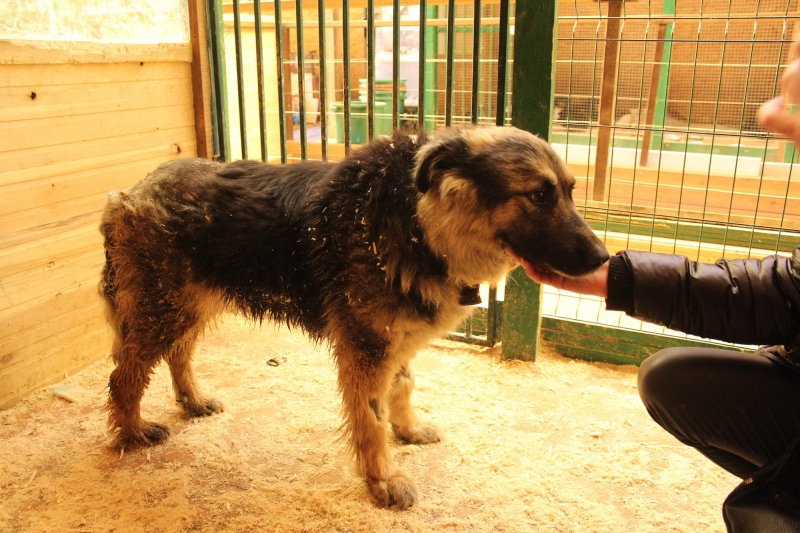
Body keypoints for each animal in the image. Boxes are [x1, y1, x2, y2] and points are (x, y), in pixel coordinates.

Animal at [98, 124, 608, 508]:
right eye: (538, 195)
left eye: (568, 192)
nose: (604, 259)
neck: (417, 222)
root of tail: (129, 191)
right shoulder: (366, 349)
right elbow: (370, 419)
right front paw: (383, 479)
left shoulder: (396, 341)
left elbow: (402, 387)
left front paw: (409, 430)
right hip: (165, 309)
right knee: (125, 375)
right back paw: (133, 432)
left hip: (187, 308)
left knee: (178, 355)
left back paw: (193, 401)